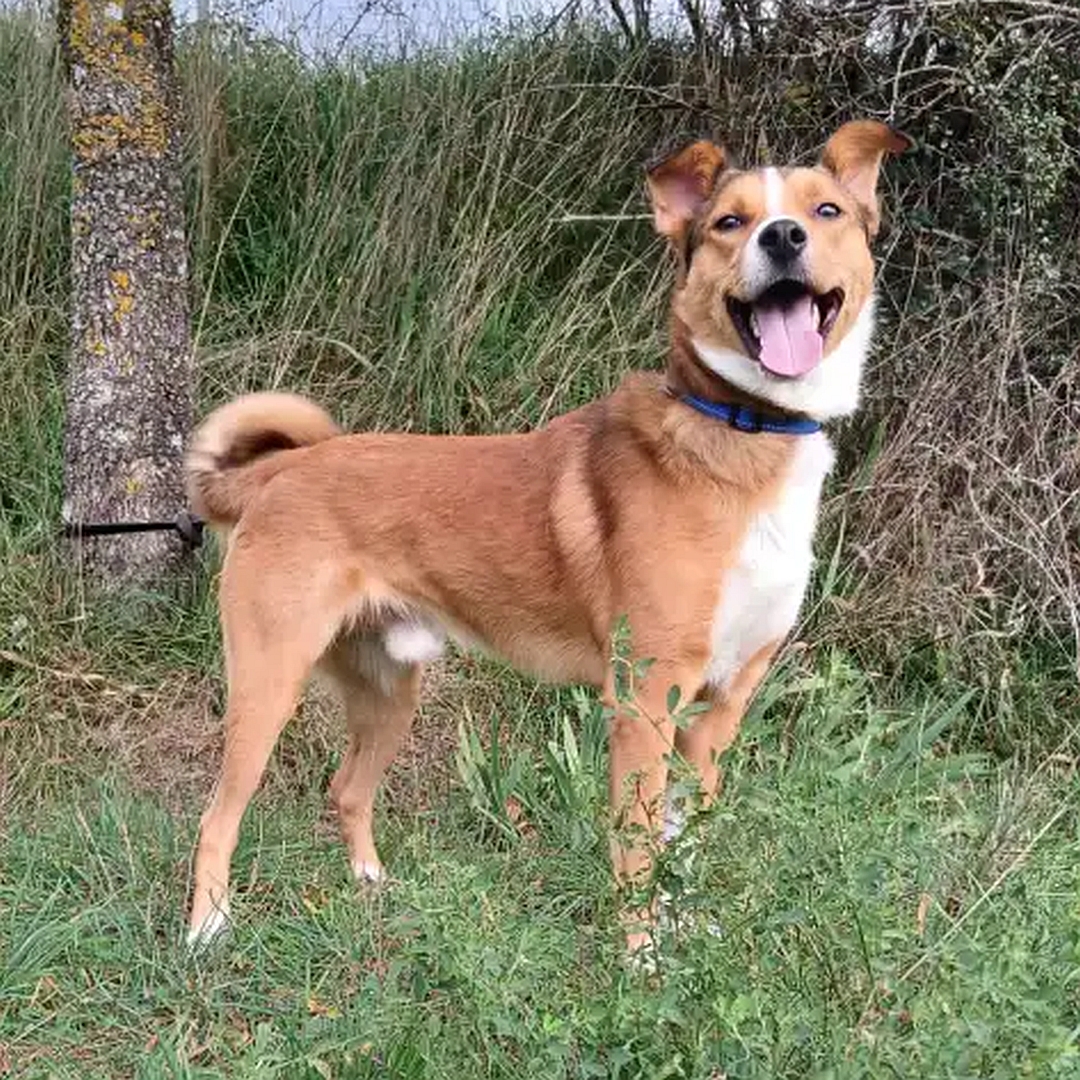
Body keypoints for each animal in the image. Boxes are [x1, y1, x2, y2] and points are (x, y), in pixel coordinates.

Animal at [185, 120, 911, 954]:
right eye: (731, 222)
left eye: (826, 211)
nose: (784, 237)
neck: (745, 430)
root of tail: (282, 471)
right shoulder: (644, 702)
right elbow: (638, 845)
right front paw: (642, 957)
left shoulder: (718, 713)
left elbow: (684, 839)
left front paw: (685, 930)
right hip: (269, 684)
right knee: (217, 814)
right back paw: (206, 928)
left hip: (391, 688)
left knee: (346, 788)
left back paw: (371, 886)